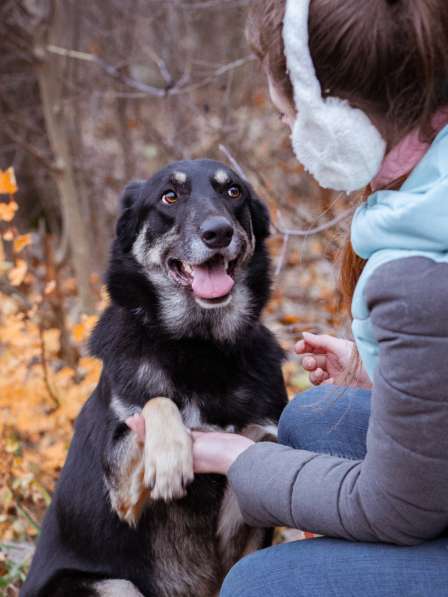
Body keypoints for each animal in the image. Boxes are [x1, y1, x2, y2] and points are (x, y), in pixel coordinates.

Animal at [22, 158, 288, 596]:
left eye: (233, 192)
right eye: (170, 197)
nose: (218, 232)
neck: (198, 348)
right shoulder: (122, 489)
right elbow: (157, 402)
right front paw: (168, 454)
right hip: (113, 584)